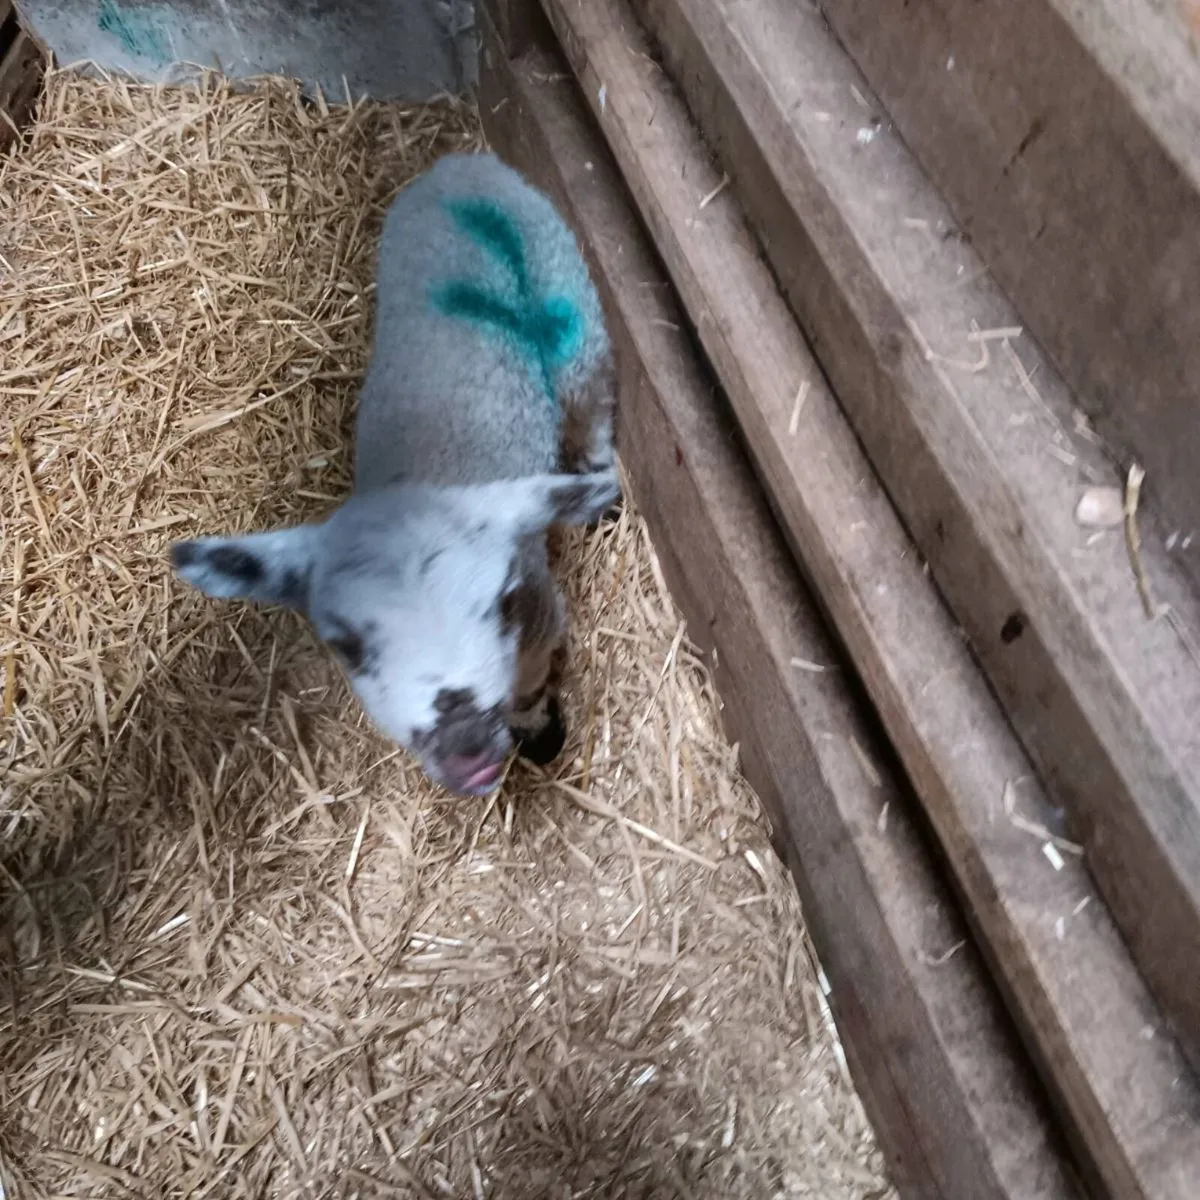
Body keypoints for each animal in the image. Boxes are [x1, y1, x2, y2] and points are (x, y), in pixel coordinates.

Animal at [170, 151, 620, 797]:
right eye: (347, 645)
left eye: (500, 603)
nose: (466, 749)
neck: (419, 479)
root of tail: (461, 162)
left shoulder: (538, 617)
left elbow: (533, 682)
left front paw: (541, 736)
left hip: (569, 302)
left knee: (590, 400)